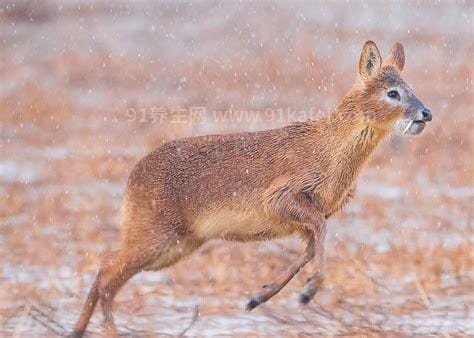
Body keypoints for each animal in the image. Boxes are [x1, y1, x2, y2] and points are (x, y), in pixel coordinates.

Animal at [71, 40, 434, 336]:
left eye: (410, 86)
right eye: (393, 92)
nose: (426, 113)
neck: (328, 153)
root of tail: (132, 178)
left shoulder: (308, 217)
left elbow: (309, 249)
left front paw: (259, 297)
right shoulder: (281, 197)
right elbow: (318, 237)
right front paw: (308, 292)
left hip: (178, 243)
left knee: (106, 268)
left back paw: (78, 329)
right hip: (155, 234)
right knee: (108, 274)